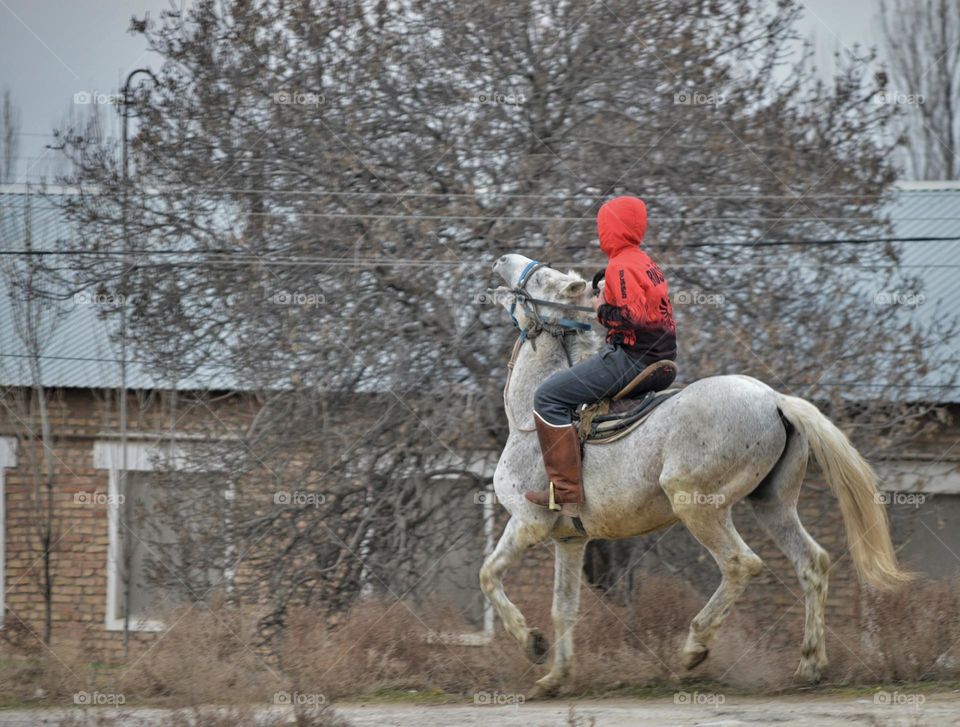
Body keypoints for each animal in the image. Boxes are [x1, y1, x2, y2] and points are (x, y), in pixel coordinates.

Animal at [480, 253, 916, 696]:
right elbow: (563, 609)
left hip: (697, 505)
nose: (502, 260)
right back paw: (809, 665)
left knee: (741, 563)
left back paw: (694, 648)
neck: (528, 423)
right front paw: (554, 678)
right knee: (812, 563)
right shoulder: (569, 541)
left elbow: (489, 575)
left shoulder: (528, 523)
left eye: (545, 279)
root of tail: (775, 399)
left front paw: (531, 643)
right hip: (773, 505)